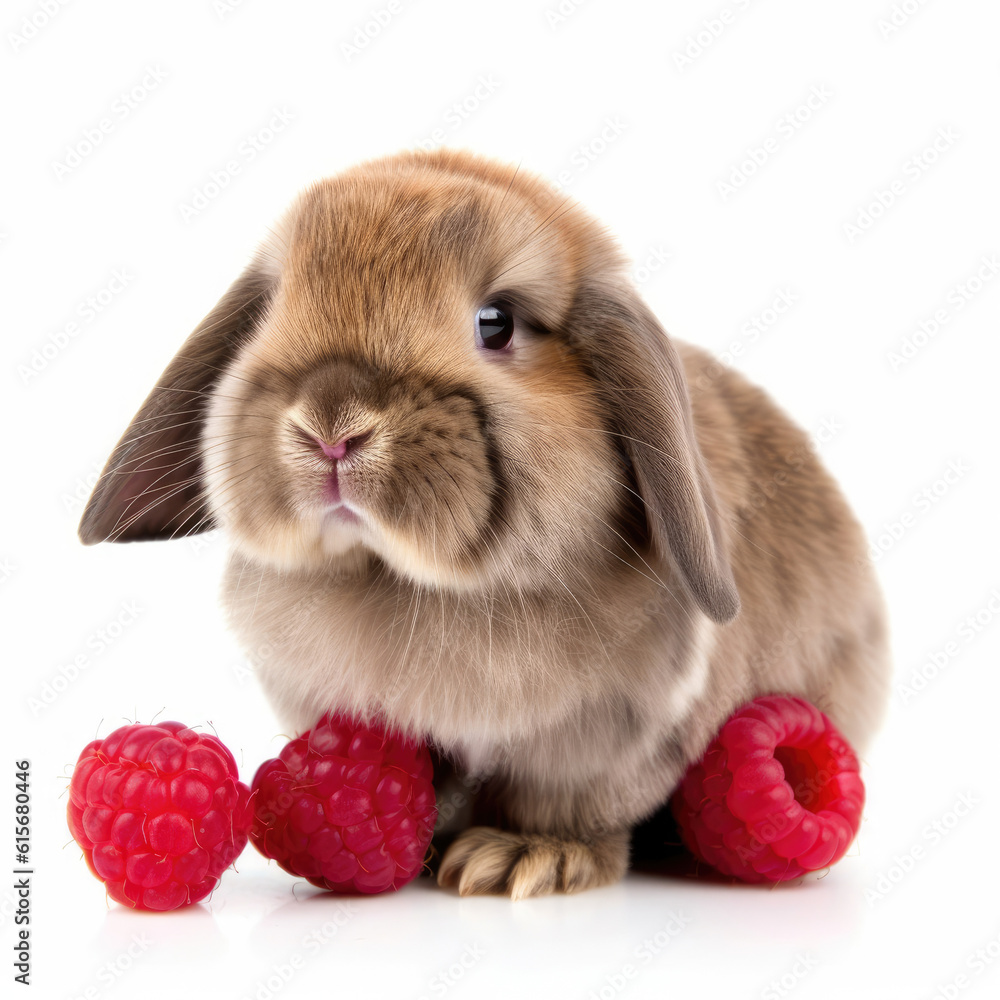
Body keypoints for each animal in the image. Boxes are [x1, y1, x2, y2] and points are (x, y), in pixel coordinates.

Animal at [78, 146, 892, 900]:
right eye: (276, 305)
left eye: (495, 323)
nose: (330, 425)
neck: (417, 588)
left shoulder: (605, 741)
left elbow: (567, 806)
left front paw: (522, 859)